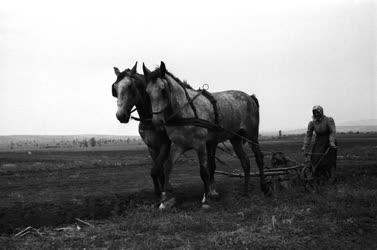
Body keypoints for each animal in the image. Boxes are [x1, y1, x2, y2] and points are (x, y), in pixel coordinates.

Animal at [111, 62, 171, 197]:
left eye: (130, 86)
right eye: (115, 88)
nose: (120, 115)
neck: (150, 120)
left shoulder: (165, 145)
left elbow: (155, 170)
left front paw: (163, 192)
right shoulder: (152, 147)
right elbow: (158, 171)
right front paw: (159, 192)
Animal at [142, 62, 268, 209]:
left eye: (163, 90)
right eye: (147, 92)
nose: (156, 123)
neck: (186, 112)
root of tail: (250, 97)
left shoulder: (200, 145)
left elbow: (204, 171)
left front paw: (206, 199)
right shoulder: (179, 146)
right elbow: (168, 167)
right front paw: (163, 200)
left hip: (252, 136)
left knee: (259, 158)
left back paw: (264, 187)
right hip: (236, 138)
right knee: (246, 162)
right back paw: (245, 192)